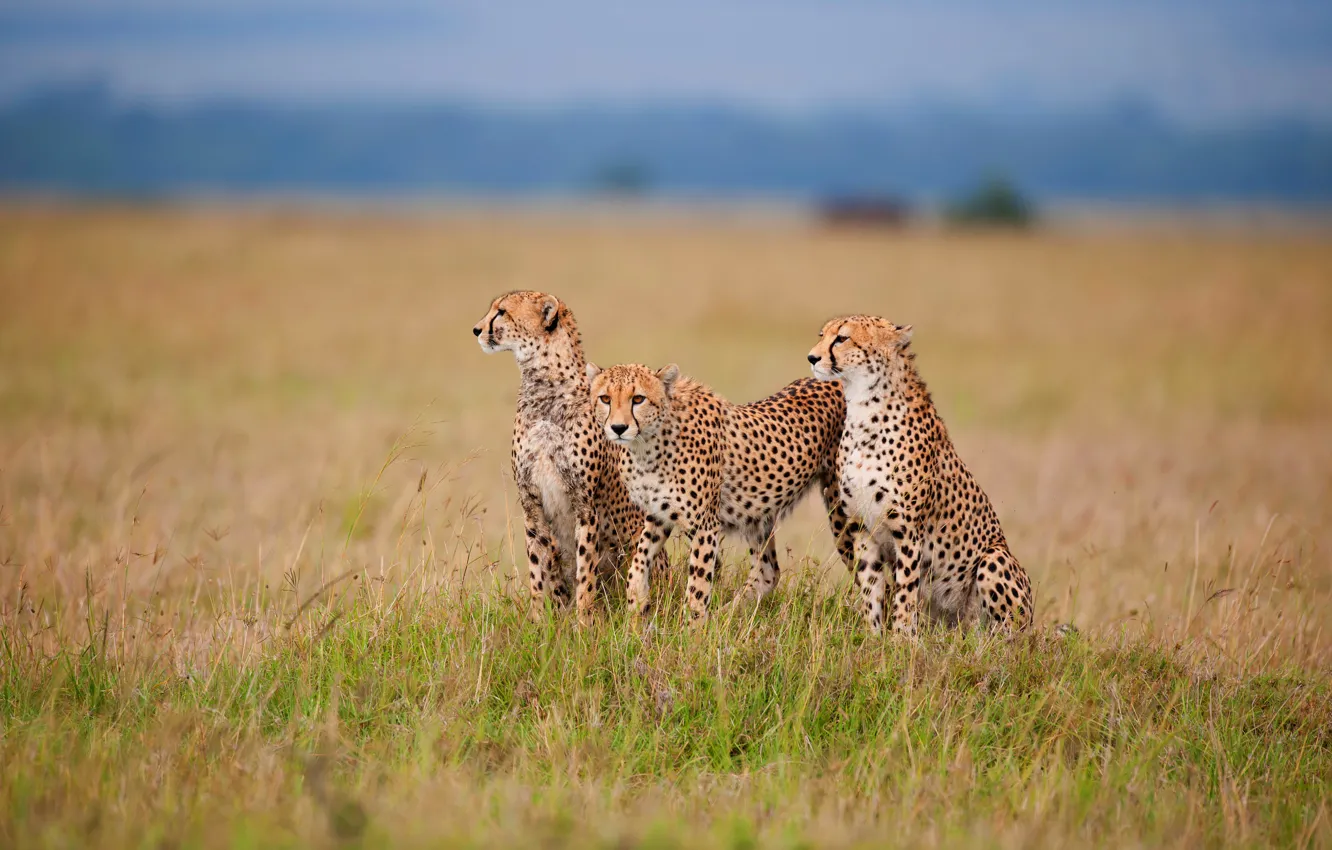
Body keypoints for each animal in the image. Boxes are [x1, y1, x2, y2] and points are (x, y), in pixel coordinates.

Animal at [472, 291, 664, 620]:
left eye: (501, 312)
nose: (476, 330)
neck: (544, 389)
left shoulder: (585, 504)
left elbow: (585, 569)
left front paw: (584, 621)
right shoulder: (531, 502)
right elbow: (538, 568)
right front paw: (539, 621)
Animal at [586, 362, 857, 621]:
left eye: (638, 399)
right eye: (605, 398)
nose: (618, 428)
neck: (647, 445)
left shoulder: (704, 525)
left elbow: (697, 588)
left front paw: (693, 630)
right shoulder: (658, 515)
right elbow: (639, 561)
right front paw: (637, 603)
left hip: (841, 509)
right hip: (757, 514)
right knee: (767, 573)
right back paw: (724, 615)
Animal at [807, 315, 1033, 637]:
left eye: (842, 338)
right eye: (822, 336)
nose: (812, 357)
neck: (864, 411)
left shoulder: (908, 531)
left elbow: (905, 591)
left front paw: (902, 640)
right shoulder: (862, 528)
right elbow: (871, 589)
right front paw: (873, 637)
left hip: (995, 559)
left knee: (1009, 636)